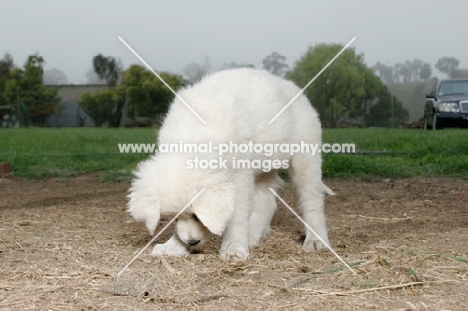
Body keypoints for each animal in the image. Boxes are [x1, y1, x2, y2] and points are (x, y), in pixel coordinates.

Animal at [128, 68, 332, 260]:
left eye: (197, 215)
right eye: (173, 217)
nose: (192, 242)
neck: (194, 136)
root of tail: (295, 88)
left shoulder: (239, 175)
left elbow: (237, 215)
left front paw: (233, 248)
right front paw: (174, 247)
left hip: (305, 158)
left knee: (312, 200)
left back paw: (316, 240)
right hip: (264, 166)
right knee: (267, 202)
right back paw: (253, 235)